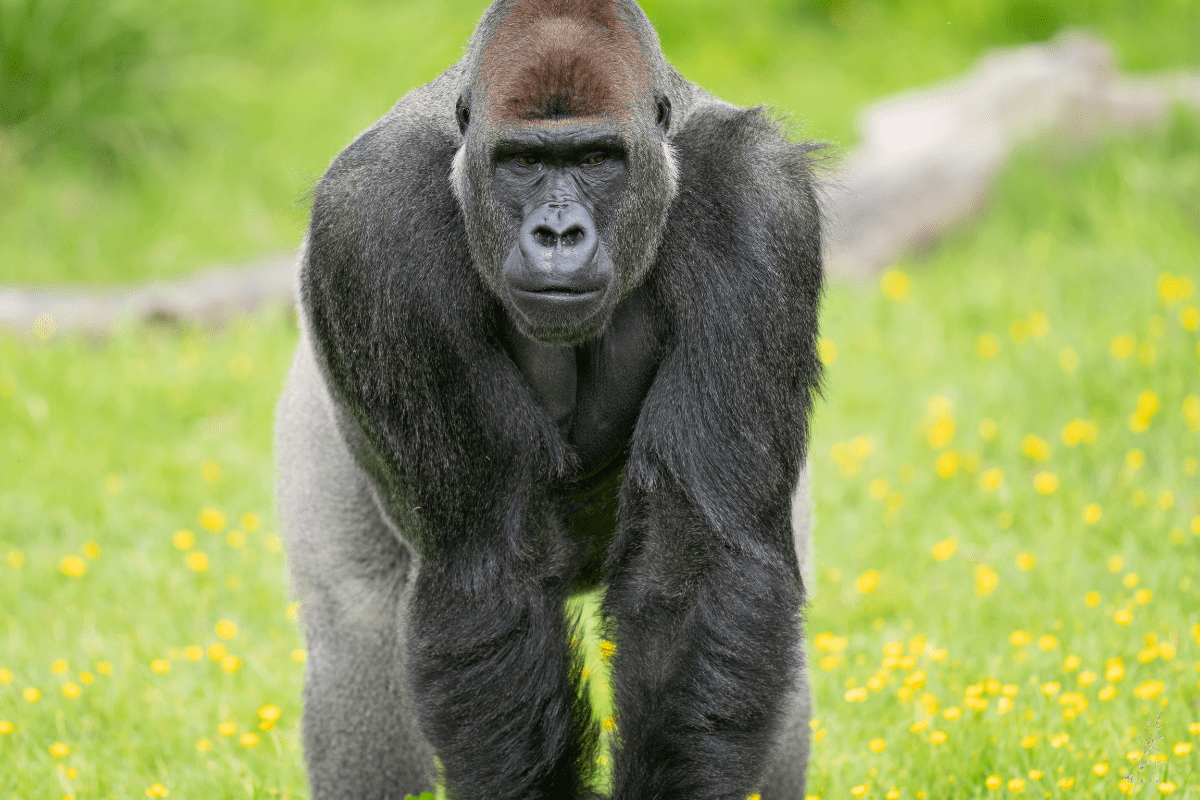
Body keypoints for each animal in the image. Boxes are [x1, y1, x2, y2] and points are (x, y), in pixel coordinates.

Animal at [274, 1, 823, 798]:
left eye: (595, 160)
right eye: (524, 163)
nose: (558, 233)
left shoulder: (758, 202)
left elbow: (699, 571)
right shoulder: (372, 221)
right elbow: (490, 567)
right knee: (356, 629)